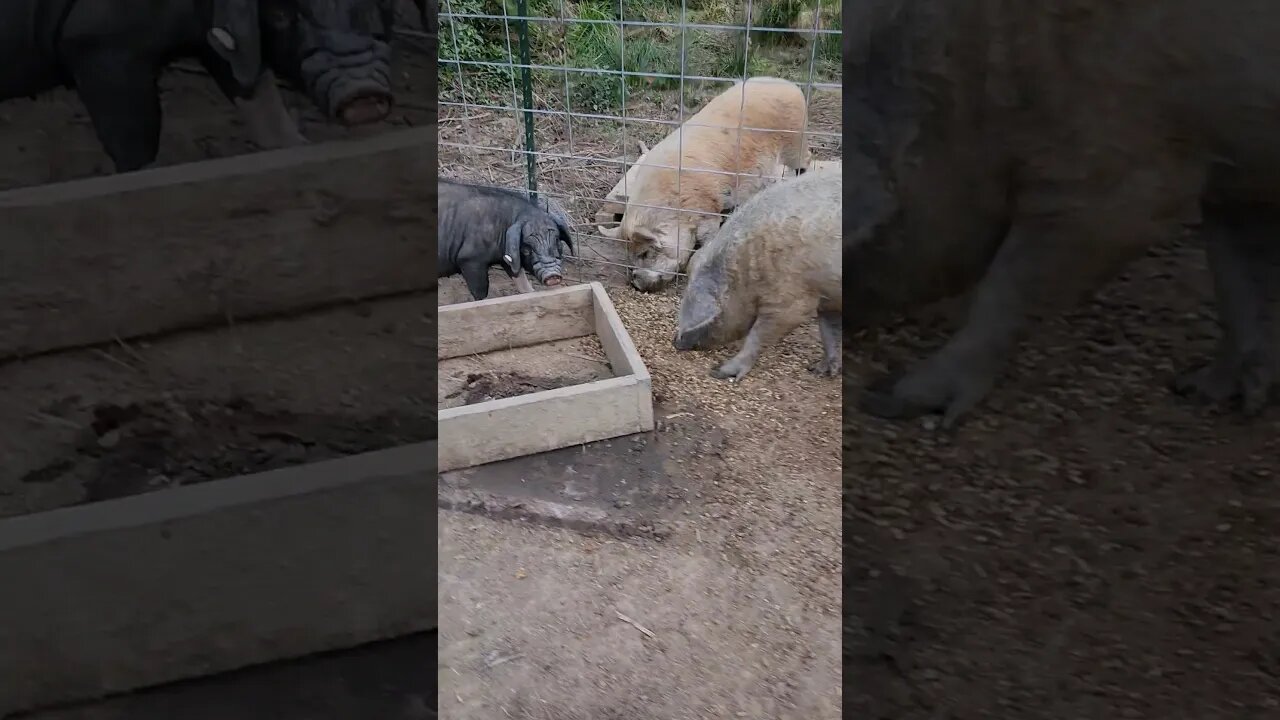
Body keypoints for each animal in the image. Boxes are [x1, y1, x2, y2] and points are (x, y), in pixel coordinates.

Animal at [0, 0, 404, 172]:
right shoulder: (99, 45)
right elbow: (135, 143)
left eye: (377, 4)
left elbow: (259, 99)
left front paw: (297, 147)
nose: (362, 91)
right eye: (281, 15)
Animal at [442, 180, 578, 301]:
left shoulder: (508, 258)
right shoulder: (469, 260)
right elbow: (480, 293)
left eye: (557, 241)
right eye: (526, 249)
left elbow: (521, 280)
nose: (552, 275)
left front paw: (531, 292)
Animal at [670, 169, 839, 381]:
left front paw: (720, 372)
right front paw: (818, 369)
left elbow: (759, 334)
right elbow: (829, 332)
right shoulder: (826, 297)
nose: (675, 342)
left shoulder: (792, 300)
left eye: (714, 318)